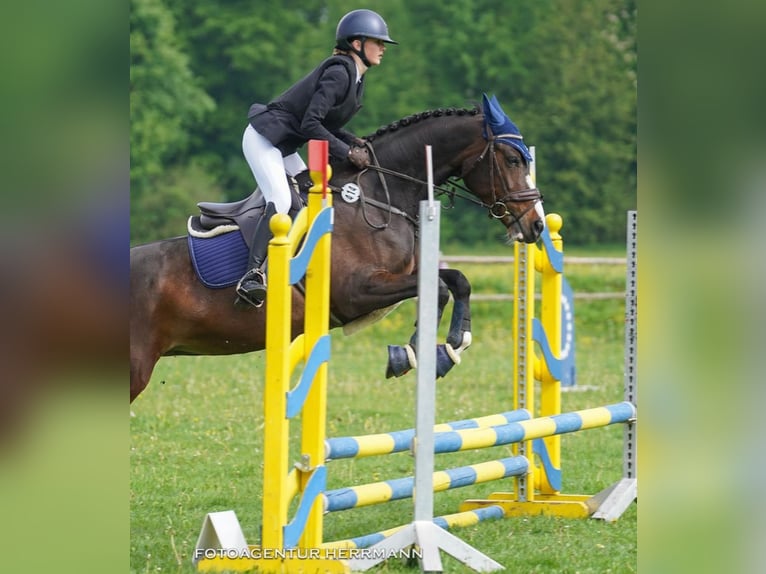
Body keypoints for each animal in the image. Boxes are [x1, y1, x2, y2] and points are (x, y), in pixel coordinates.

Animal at [129, 93, 544, 404]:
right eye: (512, 159)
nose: (536, 224)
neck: (375, 196)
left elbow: (458, 280)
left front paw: (455, 343)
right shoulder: (356, 292)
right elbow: (440, 289)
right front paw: (412, 355)